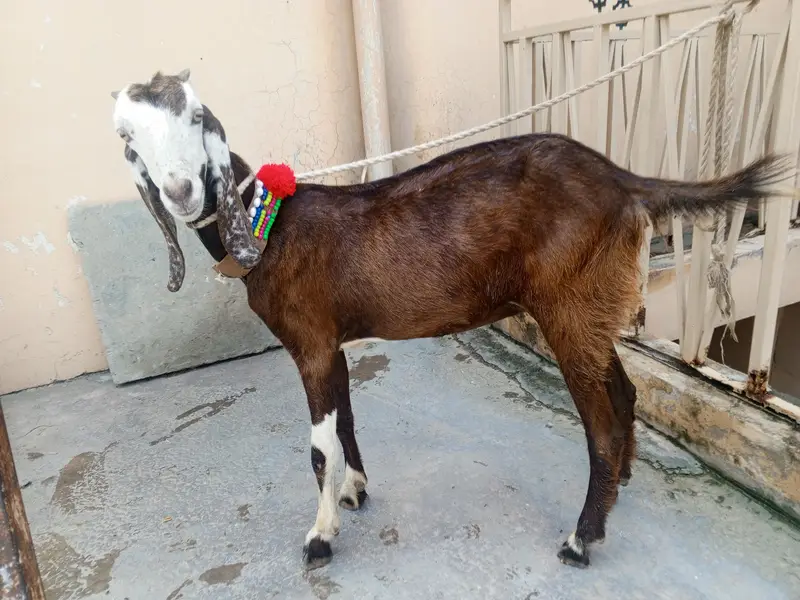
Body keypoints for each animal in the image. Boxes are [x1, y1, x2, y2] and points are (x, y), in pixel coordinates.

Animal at [110, 69, 793, 569]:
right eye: (127, 139)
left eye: (196, 117)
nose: (181, 193)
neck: (270, 225)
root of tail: (625, 183)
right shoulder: (332, 342)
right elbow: (346, 422)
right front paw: (356, 492)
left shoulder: (309, 342)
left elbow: (318, 448)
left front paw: (320, 537)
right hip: (594, 305)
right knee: (625, 393)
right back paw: (620, 485)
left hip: (568, 305)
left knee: (599, 422)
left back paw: (582, 538)